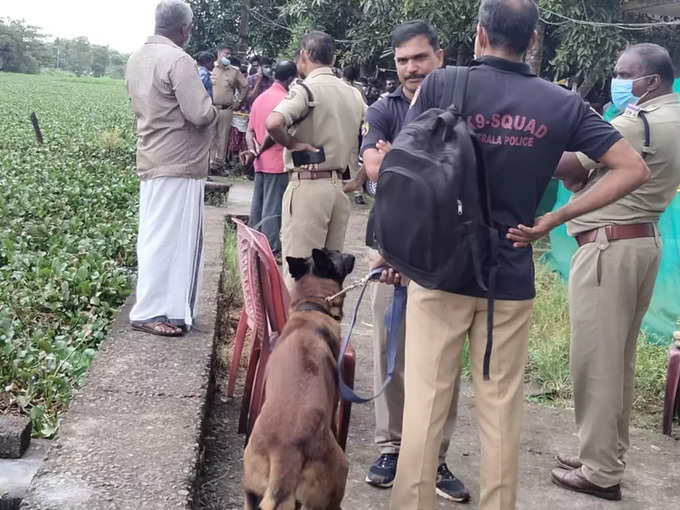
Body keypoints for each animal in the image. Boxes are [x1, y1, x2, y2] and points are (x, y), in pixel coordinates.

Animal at [242, 249, 356, 508]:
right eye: (338, 254)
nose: (353, 255)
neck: (311, 309)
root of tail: (285, 453)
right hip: (335, 479)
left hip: (251, 493)